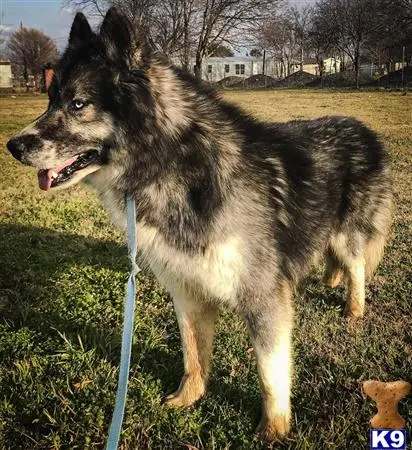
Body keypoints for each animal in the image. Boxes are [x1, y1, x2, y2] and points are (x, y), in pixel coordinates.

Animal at [7, 8, 392, 442]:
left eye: (78, 103)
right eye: (51, 99)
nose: (14, 146)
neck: (175, 165)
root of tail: (364, 129)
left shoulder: (264, 298)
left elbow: (270, 373)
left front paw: (273, 428)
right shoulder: (187, 290)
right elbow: (193, 353)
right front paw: (188, 397)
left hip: (347, 234)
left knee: (356, 267)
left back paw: (354, 308)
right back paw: (330, 280)